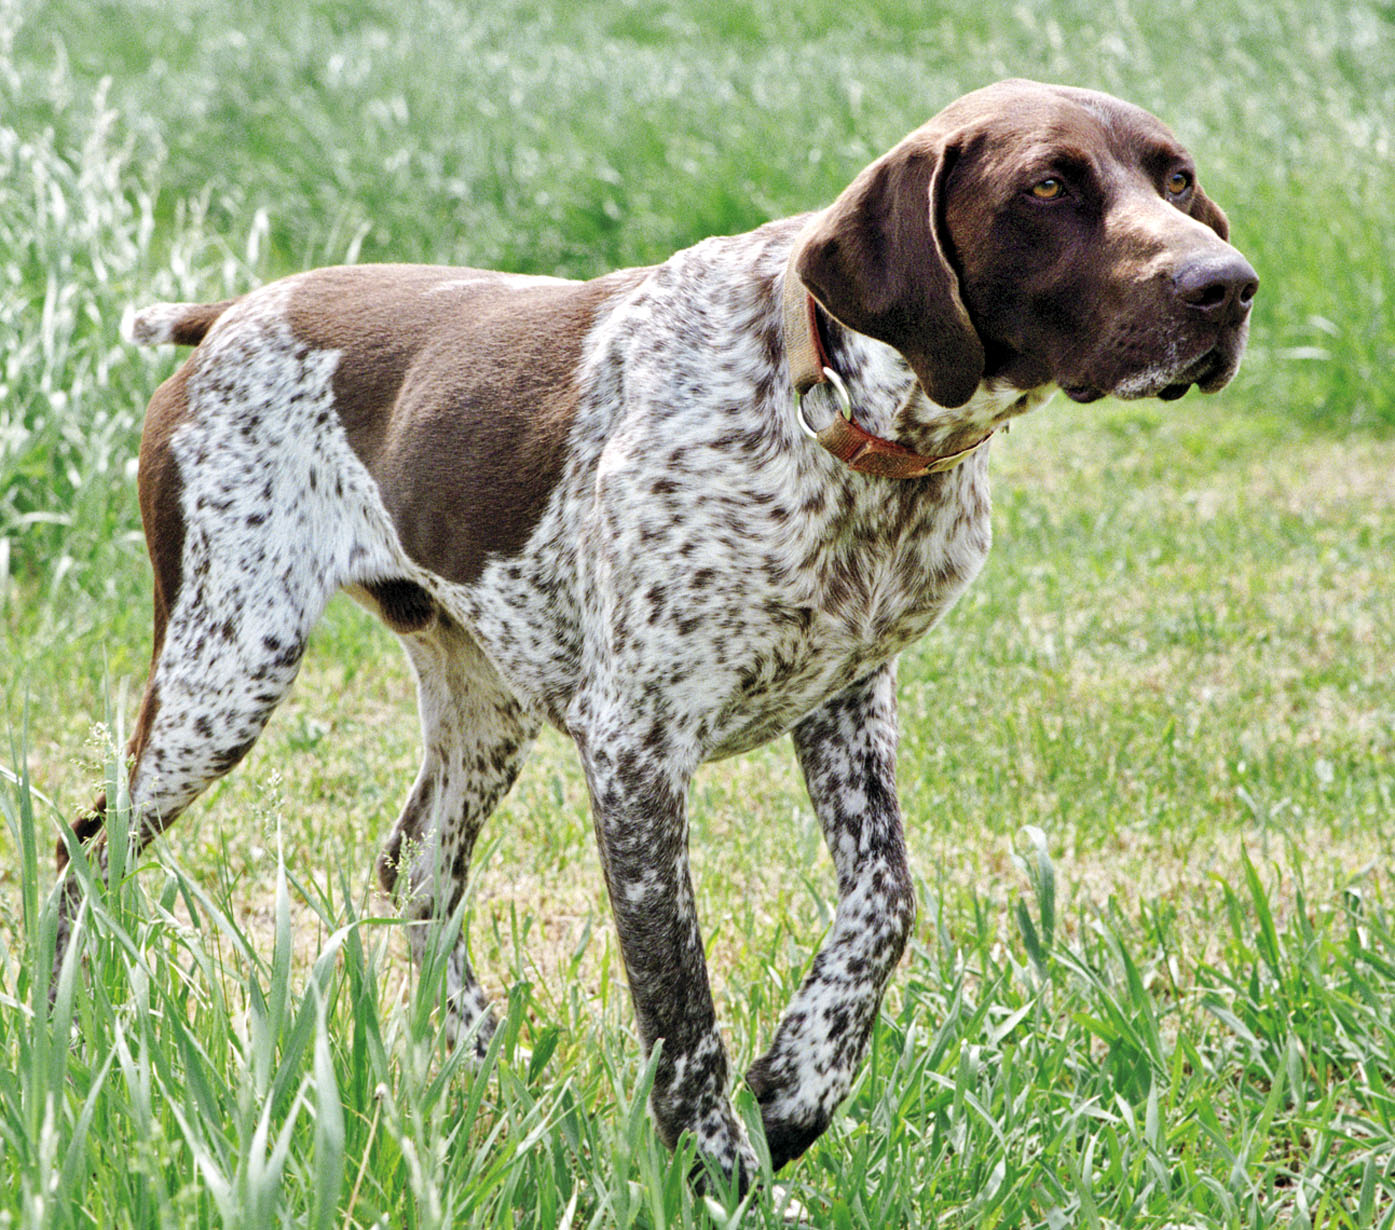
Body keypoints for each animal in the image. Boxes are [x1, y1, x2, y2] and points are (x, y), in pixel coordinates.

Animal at [57, 79, 1255, 1188]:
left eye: (1176, 179)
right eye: (1048, 187)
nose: (1226, 287)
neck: (836, 416)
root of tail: (236, 310)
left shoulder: (845, 702)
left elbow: (884, 904)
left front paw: (800, 1087)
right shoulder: (634, 749)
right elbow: (679, 1003)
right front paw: (715, 1167)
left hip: (481, 702)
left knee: (417, 866)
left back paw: (477, 1061)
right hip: (227, 665)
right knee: (89, 847)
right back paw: (71, 1035)